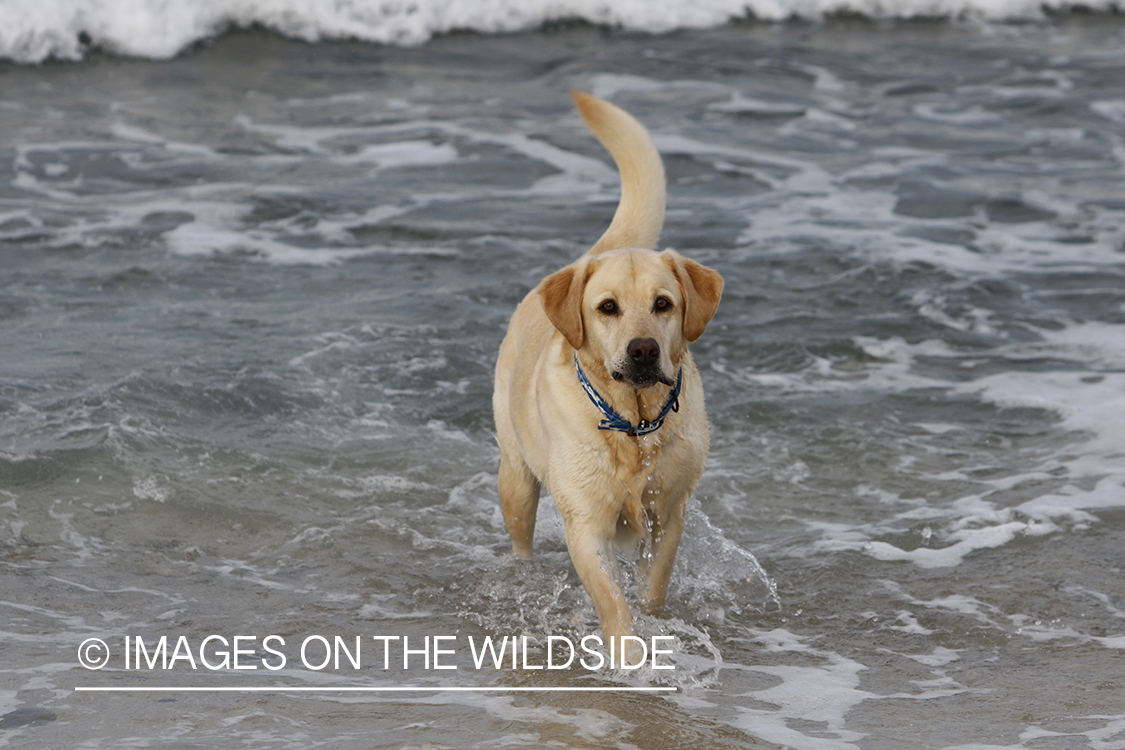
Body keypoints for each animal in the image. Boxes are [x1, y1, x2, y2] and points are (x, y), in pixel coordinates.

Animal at [490, 89, 720, 652]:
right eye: (608, 307)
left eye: (663, 304)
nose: (643, 351)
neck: (632, 426)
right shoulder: (587, 523)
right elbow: (613, 602)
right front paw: (628, 656)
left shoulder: (667, 515)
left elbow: (652, 589)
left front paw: (654, 627)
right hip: (516, 477)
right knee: (521, 532)